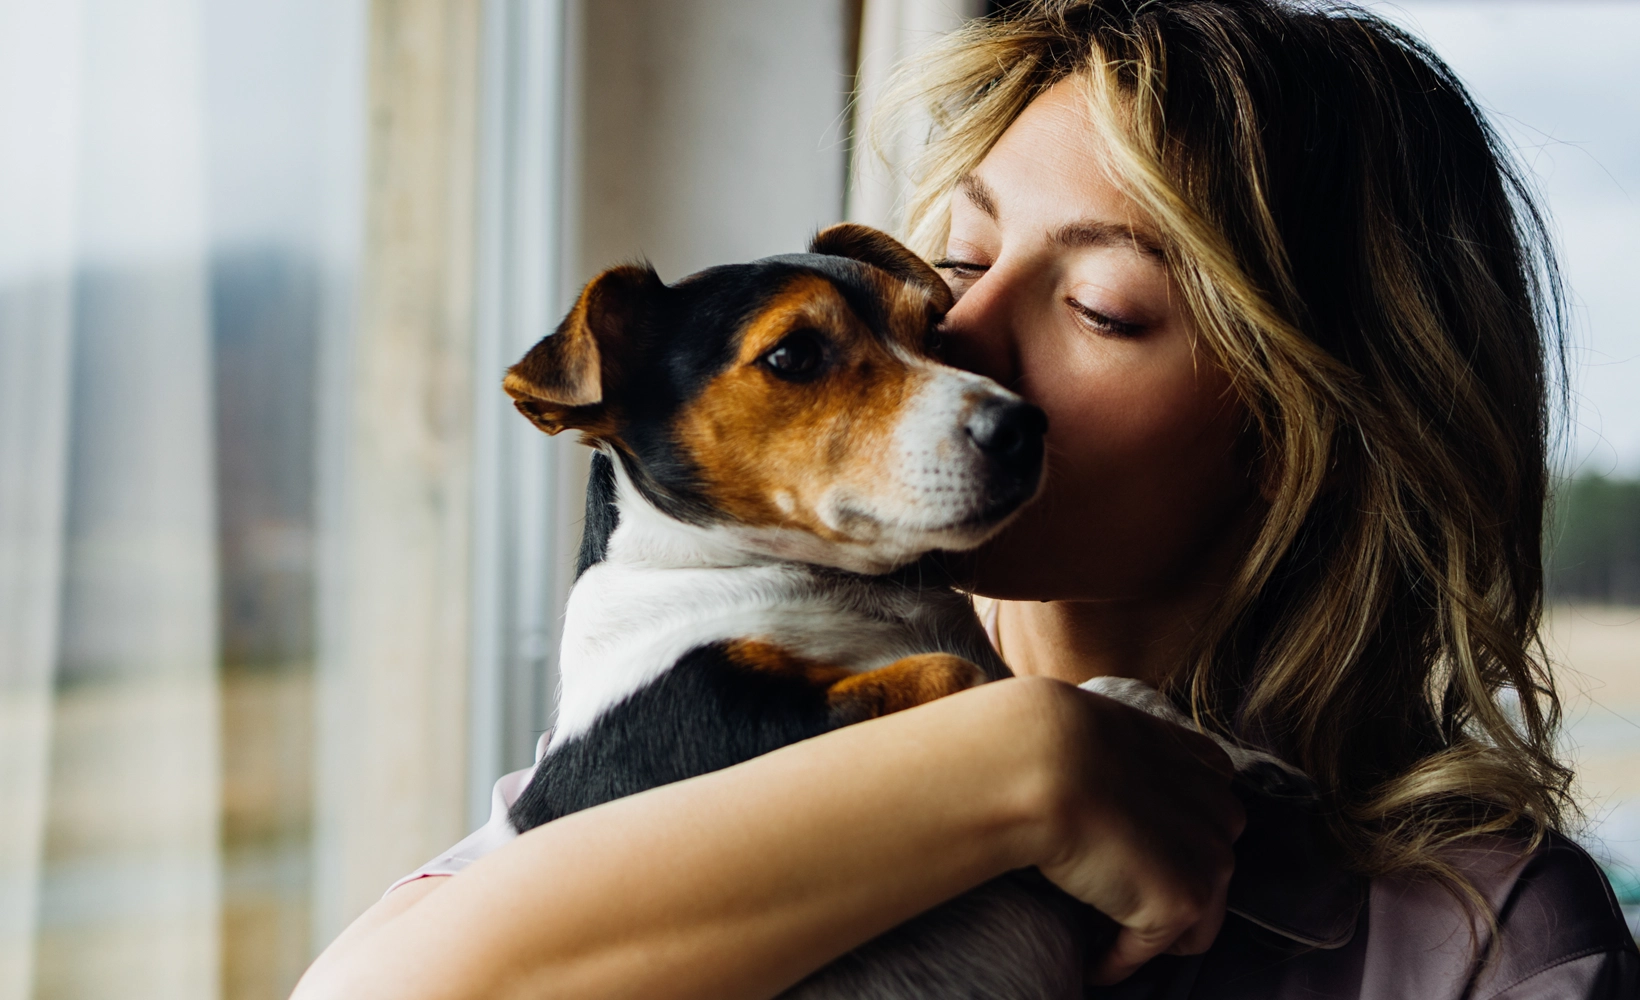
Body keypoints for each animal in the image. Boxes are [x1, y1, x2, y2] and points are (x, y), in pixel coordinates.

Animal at [501, 221, 1279, 990]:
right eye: (792, 354)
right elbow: (969, 678)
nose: (1024, 425)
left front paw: (1205, 736)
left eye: (938, 332)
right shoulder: (699, 725)